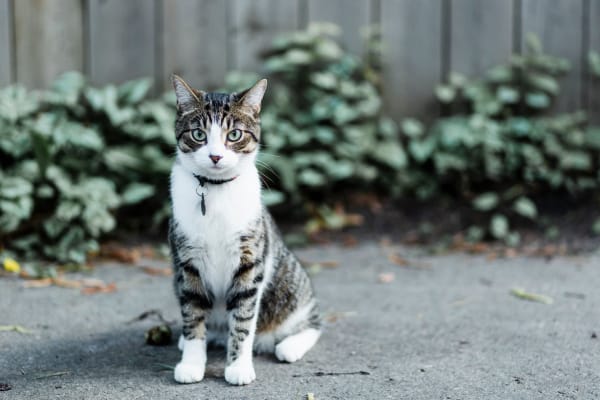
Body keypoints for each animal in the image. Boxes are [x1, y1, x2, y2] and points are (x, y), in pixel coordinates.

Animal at [166, 74, 322, 384]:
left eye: (235, 135)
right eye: (198, 134)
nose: (215, 156)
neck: (215, 191)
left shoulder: (249, 260)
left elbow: (243, 318)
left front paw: (238, 367)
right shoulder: (187, 263)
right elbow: (192, 314)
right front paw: (191, 363)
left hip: (289, 286)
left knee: (311, 322)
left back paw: (289, 346)